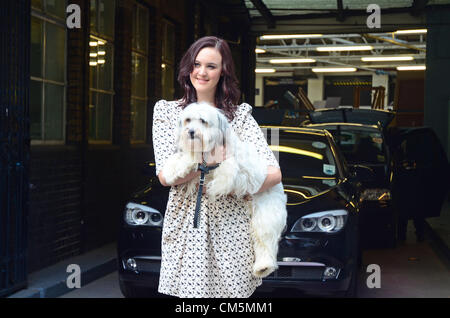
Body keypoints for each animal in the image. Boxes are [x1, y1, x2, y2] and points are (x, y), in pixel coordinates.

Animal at [163, 102, 286, 278]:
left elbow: (222, 170)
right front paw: (171, 170)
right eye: (188, 120)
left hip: (265, 215)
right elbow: (185, 159)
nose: (191, 131)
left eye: (203, 120)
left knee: (265, 241)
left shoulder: (231, 164)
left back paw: (263, 266)